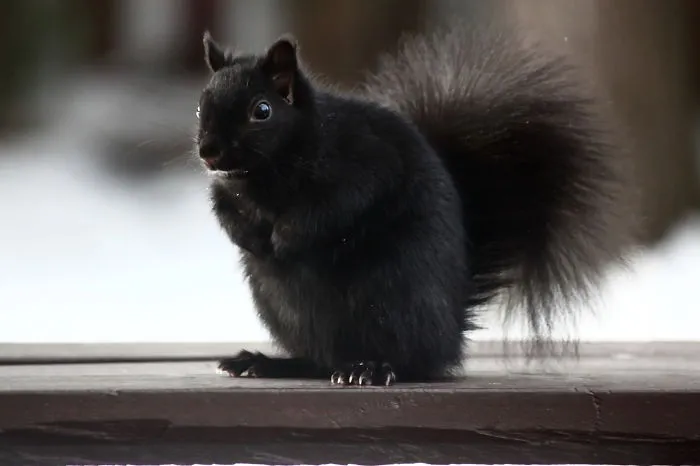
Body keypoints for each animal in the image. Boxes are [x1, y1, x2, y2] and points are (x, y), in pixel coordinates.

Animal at [195, 23, 633, 386]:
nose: (208, 152)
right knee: (319, 361)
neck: (260, 179)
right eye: (201, 105)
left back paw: (371, 368)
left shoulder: (362, 164)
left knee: (409, 361)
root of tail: (450, 330)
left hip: (395, 297)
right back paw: (265, 362)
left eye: (261, 111)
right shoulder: (224, 192)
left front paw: (284, 239)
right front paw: (250, 240)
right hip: (286, 312)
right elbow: (225, 213)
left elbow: (331, 209)